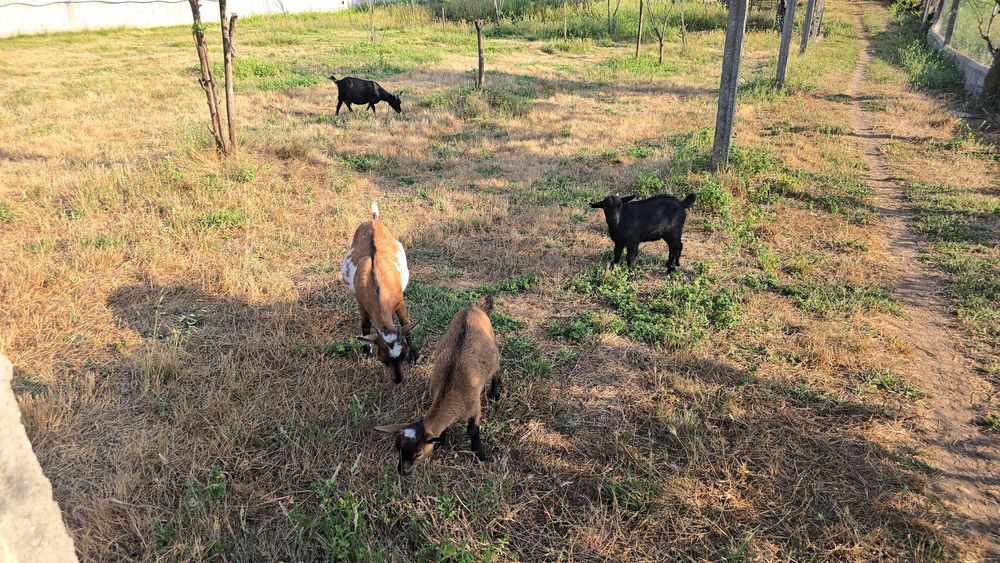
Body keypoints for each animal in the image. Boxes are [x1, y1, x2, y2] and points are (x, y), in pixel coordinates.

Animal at [341, 202, 418, 384]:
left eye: (403, 354)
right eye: (383, 360)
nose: (398, 380)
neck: (378, 289)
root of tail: (374, 220)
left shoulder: (399, 301)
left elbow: (405, 323)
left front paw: (415, 355)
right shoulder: (361, 303)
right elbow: (365, 325)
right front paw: (366, 351)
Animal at [374, 295, 501, 475]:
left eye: (418, 453)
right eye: (397, 448)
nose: (402, 471)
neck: (450, 393)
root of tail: (474, 307)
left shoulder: (474, 408)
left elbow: (473, 431)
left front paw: (480, 453)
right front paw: (441, 440)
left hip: (494, 351)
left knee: (497, 370)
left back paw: (495, 393)